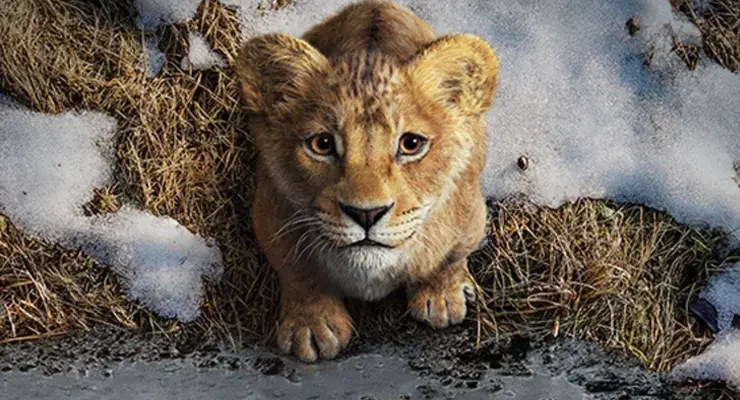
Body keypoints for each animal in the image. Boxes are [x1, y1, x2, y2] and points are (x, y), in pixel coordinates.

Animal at [236, 0, 498, 362]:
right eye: (322, 144)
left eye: (411, 144)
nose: (366, 214)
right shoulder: (270, 213)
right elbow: (297, 271)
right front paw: (312, 326)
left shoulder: (470, 215)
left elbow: (450, 258)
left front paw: (442, 297)